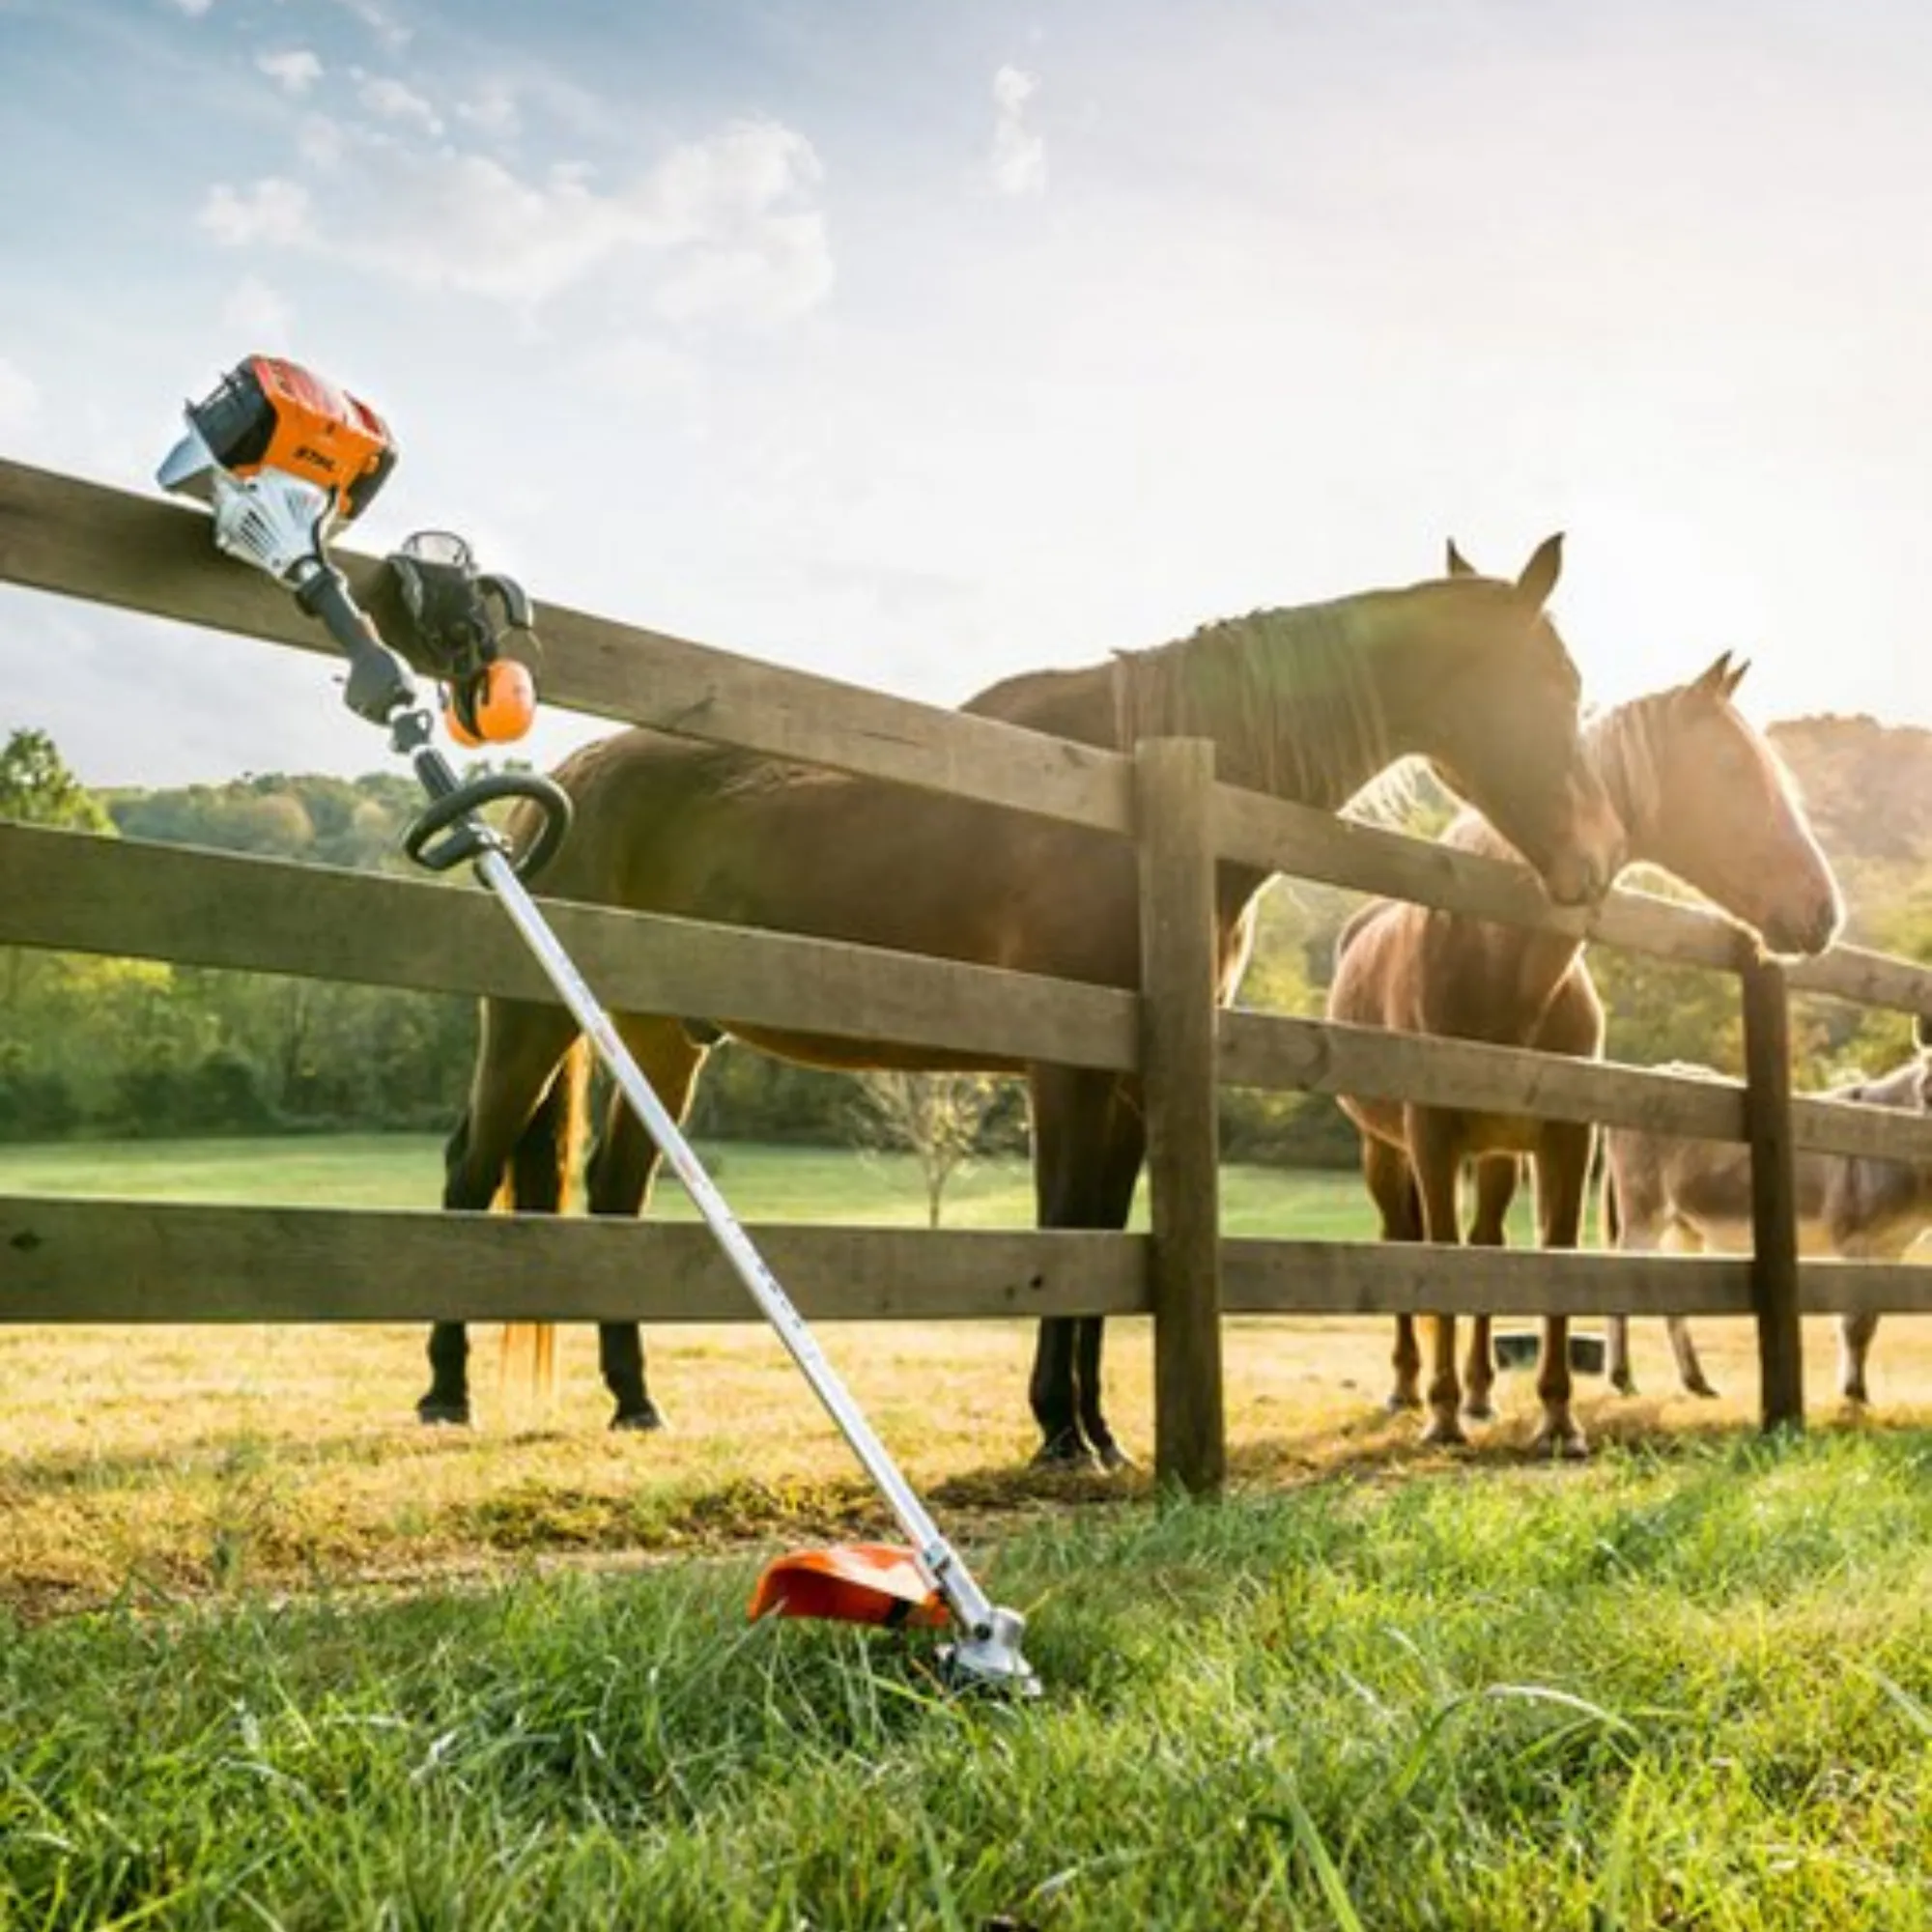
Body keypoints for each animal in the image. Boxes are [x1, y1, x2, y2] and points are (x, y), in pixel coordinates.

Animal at [431, 529, 1623, 1461]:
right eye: (1556, 688)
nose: (1598, 861)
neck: (1129, 805)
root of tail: (567, 776)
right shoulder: (1062, 1066)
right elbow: (1060, 1230)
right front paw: (1058, 1427)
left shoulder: (1131, 1079)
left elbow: (1102, 1231)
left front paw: (1094, 1431)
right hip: (531, 1021)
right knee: (472, 1169)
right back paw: (446, 1391)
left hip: (661, 1040)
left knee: (613, 1193)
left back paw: (634, 1401)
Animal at [1329, 641, 1839, 1453]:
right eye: (1732, 768)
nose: (1824, 911)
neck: (1494, 953)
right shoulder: (1432, 1136)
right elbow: (1436, 1255)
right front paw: (1441, 1413)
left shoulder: (1568, 1137)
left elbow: (1556, 1258)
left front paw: (1557, 1418)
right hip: (1386, 1148)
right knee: (1403, 1237)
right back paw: (1412, 1389)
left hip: (1498, 1154)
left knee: (1488, 1243)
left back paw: (1481, 1394)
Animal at [1600, 1043, 1932, 1406]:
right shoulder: (1856, 1243)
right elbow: (1854, 1323)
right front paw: (1854, 1393)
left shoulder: (1890, 1249)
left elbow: (1870, 1320)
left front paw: (1857, 1391)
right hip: (1644, 1214)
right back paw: (1622, 1379)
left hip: (1683, 1227)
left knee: (1672, 1294)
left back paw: (1697, 1383)